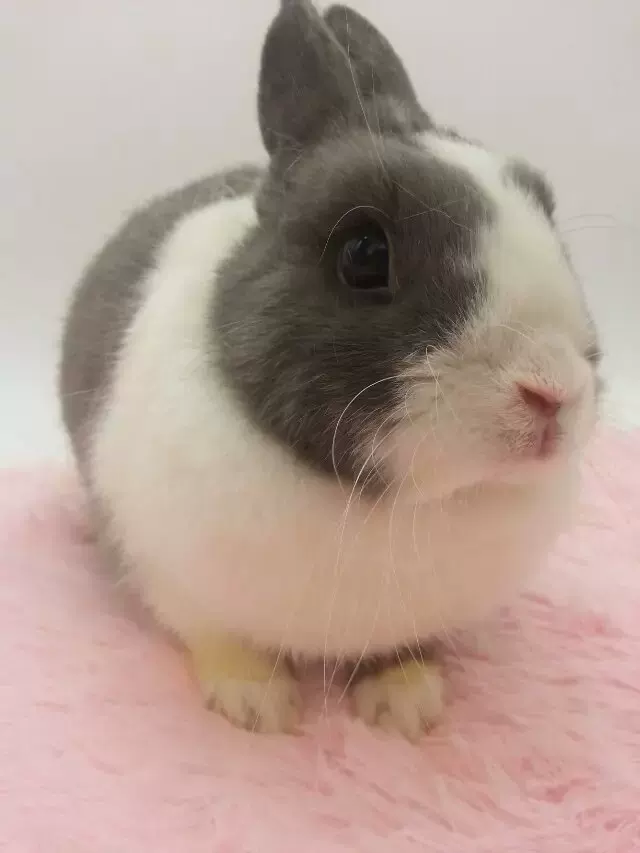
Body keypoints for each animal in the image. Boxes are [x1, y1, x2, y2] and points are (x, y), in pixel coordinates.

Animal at [59, 0, 600, 739]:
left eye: (543, 205)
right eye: (364, 255)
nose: (552, 392)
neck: (389, 506)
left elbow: (403, 649)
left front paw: (405, 704)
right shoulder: (170, 573)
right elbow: (220, 638)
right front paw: (257, 705)